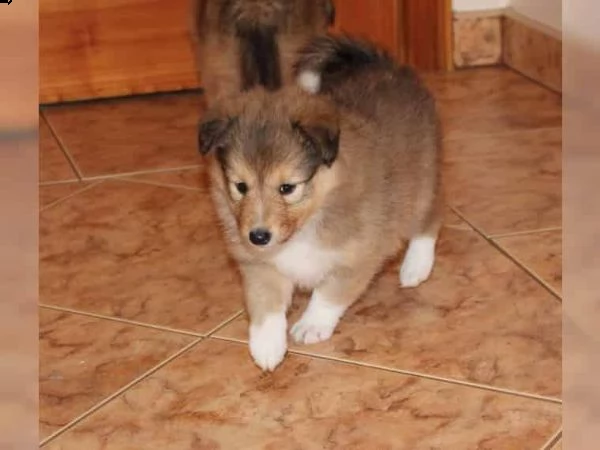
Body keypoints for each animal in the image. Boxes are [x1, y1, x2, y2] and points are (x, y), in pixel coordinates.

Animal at [199, 35, 442, 370]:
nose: (258, 237)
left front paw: (311, 325)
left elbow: (330, 293)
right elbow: (264, 301)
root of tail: (385, 65)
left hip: (420, 182)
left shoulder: (359, 254)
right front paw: (266, 346)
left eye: (288, 188)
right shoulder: (259, 264)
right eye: (240, 186)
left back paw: (414, 268)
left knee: (429, 219)